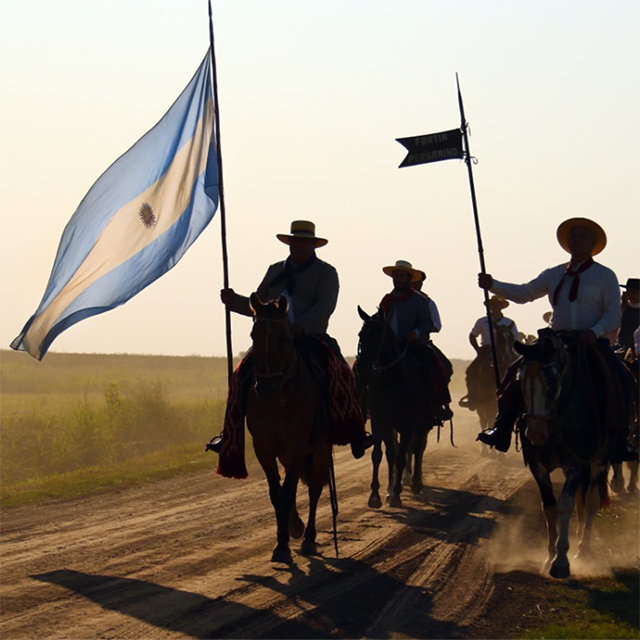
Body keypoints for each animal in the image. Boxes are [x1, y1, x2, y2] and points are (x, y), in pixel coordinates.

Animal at [246, 292, 332, 564]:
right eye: (253, 335)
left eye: (284, 338)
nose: (264, 388)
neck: (278, 400)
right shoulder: (263, 448)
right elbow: (277, 493)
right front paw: (284, 536)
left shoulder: (297, 447)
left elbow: (289, 490)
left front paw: (284, 543)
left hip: (318, 449)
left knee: (314, 488)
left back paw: (309, 538)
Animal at [352, 306, 438, 510]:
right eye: (361, 334)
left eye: (378, 335)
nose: (363, 367)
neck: (394, 380)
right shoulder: (380, 421)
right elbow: (380, 454)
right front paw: (376, 495)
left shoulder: (407, 425)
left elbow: (401, 457)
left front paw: (397, 495)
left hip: (422, 424)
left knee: (418, 448)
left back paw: (416, 482)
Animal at [516, 330, 608, 580]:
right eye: (520, 379)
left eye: (551, 379)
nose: (535, 433)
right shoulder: (537, 465)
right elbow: (549, 507)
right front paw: (549, 557)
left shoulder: (576, 463)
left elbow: (565, 504)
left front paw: (561, 561)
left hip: (599, 461)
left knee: (591, 501)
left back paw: (583, 550)